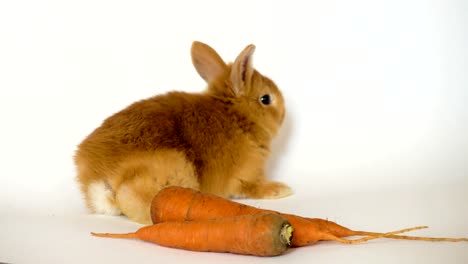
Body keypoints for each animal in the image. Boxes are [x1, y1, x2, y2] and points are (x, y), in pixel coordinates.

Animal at [74, 40, 290, 223]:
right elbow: (255, 187)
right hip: (175, 170)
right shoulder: (246, 177)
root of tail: (97, 180)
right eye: (265, 99)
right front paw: (282, 189)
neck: (238, 117)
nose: (283, 114)